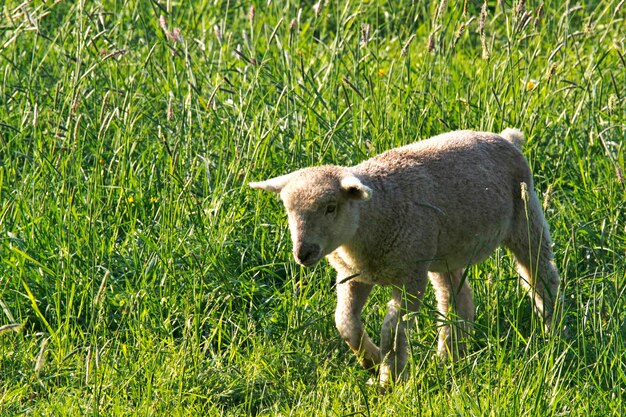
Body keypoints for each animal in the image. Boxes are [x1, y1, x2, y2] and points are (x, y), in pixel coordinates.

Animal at [249, 129, 560, 386]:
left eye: (330, 208)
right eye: (288, 210)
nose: (303, 253)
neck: (375, 214)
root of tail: (507, 138)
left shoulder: (409, 276)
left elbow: (392, 330)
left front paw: (389, 378)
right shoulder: (354, 276)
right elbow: (345, 322)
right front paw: (372, 360)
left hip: (525, 219)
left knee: (541, 277)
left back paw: (553, 331)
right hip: (442, 250)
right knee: (456, 298)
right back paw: (451, 354)